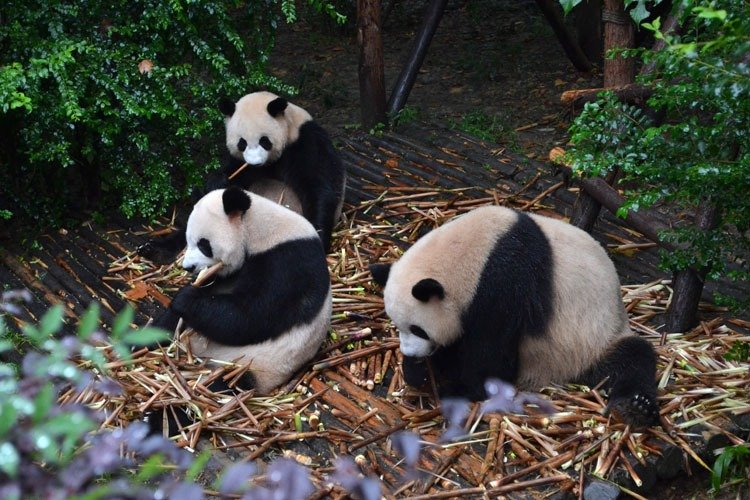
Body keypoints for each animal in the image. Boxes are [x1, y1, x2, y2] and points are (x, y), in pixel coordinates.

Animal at [139, 91, 345, 262]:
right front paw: (217, 181)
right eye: (242, 143)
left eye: (264, 141)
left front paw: (318, 237)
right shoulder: (242, 165)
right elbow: (229, 180)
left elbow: (319, 190)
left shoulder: (306, 144)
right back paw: (154, 249)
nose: (255, 162)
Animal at [152, 186, 332, 396]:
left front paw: (185, 298)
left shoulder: (288, 264)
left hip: (258, 365)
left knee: (229, 383)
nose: (188, 267)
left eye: (204, 245)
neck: (259, 229)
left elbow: (252, 316)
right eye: (188, 240)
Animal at [369, 205, 659, 427]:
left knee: (633, 358)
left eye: (418, 329)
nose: (411, 353)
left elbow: (492, 353)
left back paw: (635, 407)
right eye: (397, 325)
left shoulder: (505, 283)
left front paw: (456, 388)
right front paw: (419, 371)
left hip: (597, 336)